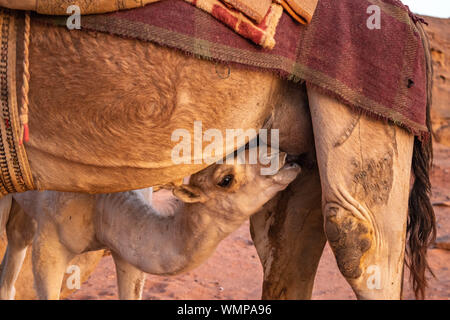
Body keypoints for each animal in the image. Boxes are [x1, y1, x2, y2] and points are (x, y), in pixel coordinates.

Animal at [0, 151, 302, 300]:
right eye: (225, 179)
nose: (285, 155)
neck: (101, 206)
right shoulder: (50, 246)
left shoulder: (127, 251)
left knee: (17, 239)